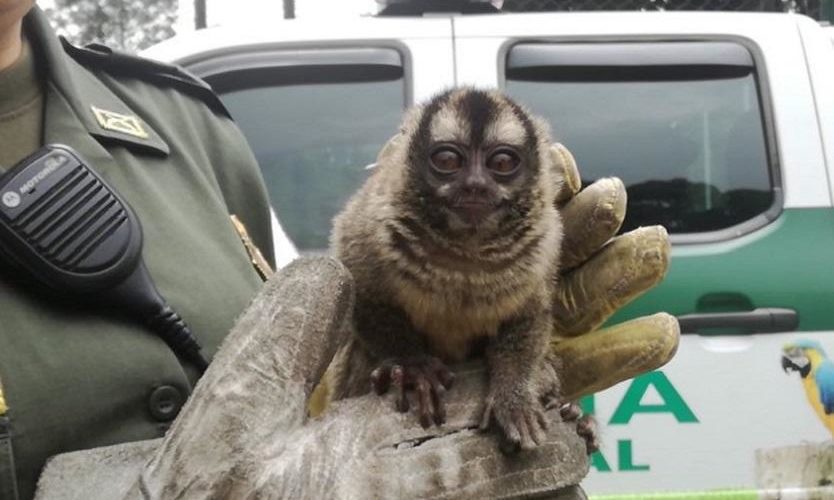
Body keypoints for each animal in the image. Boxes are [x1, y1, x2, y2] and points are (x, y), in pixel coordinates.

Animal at [325, 87, 569, 451]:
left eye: (501, 163)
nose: (475, 185)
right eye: (448, 161)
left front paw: (514, 395)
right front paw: (413, 367)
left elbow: (531, 314)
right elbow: (360, 291)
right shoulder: (371, 221)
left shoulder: (544, 242)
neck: (466, 249)